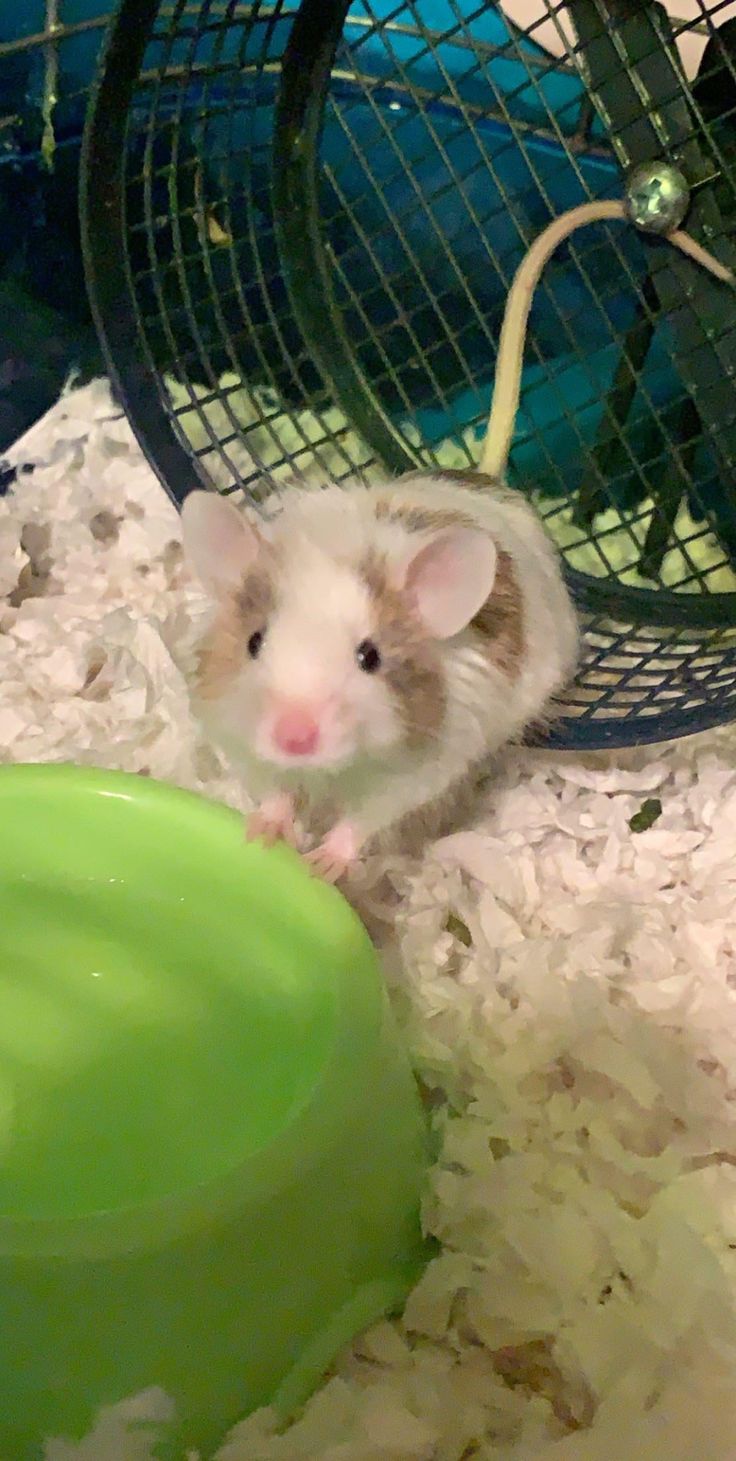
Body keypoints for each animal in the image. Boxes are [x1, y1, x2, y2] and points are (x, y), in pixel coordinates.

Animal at [181, 197, 733, 876]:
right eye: (255, 642)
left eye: (370, 658)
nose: (294, 737)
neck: (340, 767)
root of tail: (484, 480)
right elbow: (278, 790)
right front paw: (263, 832)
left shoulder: (421, 767)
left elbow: (364, 821)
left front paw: (323, 866)